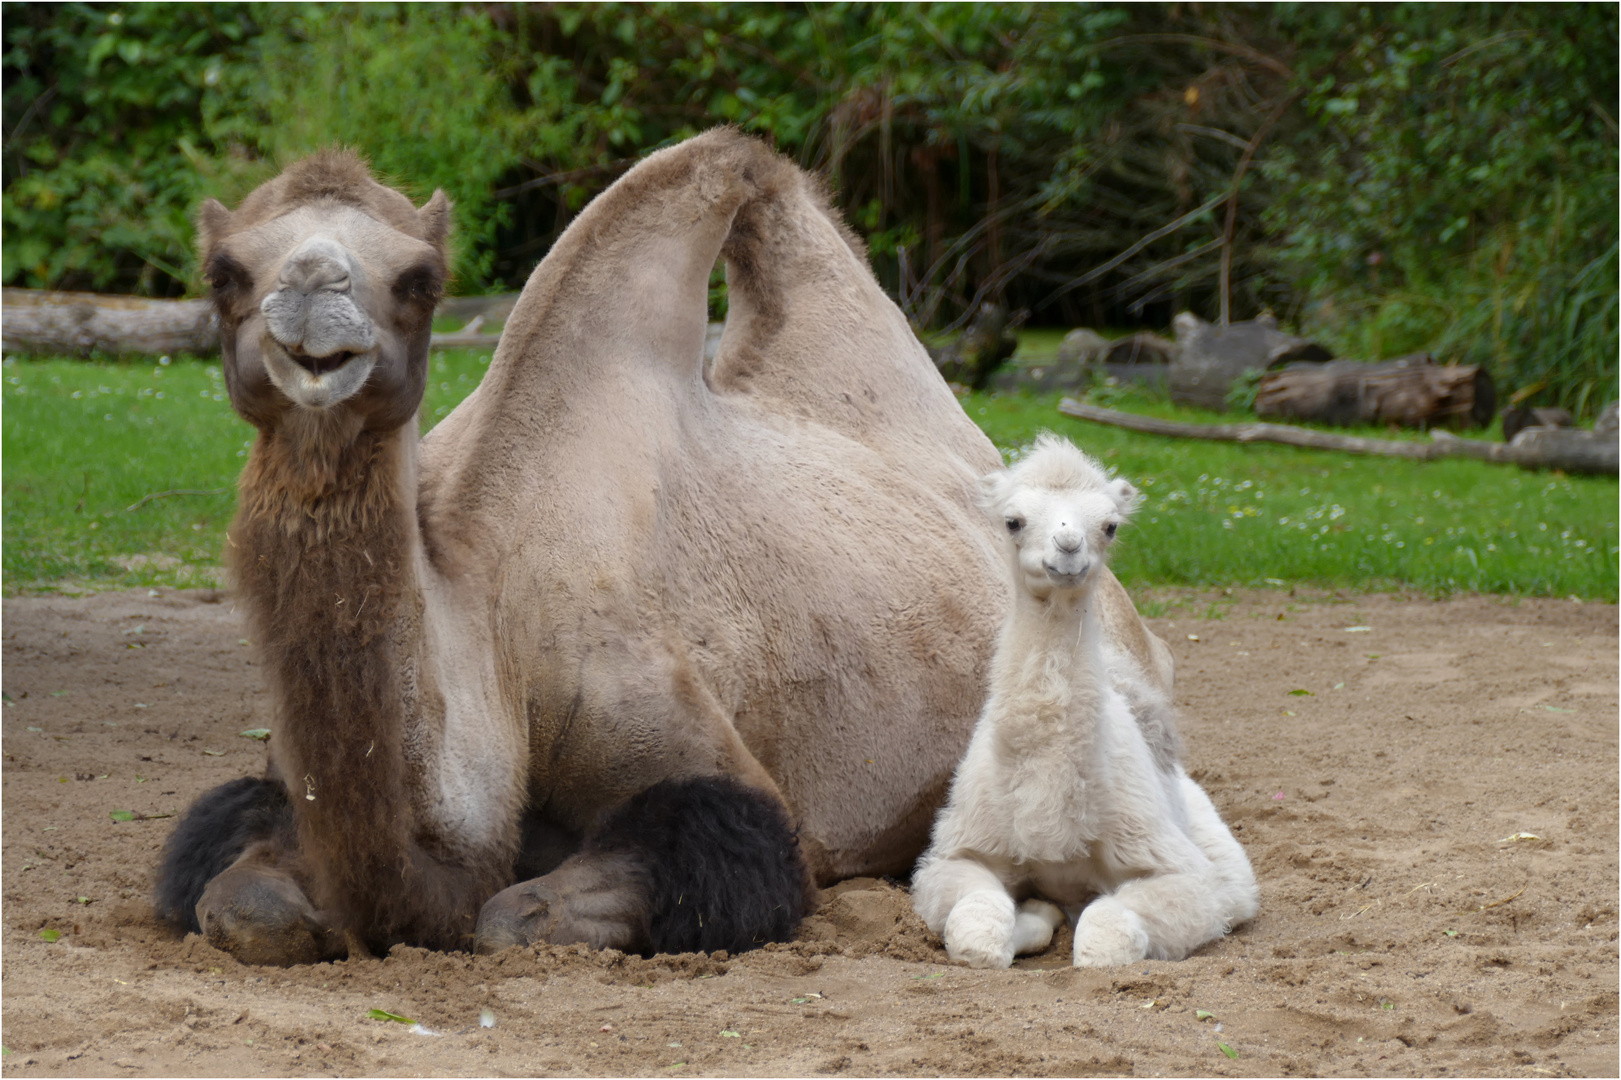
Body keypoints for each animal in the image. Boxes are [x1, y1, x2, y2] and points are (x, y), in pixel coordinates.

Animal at [154, 130, 1180, 960]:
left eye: (421, 281)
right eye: (222, 272)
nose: (311, 295)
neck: (490, 619)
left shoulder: (699, 759)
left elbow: (514, 916)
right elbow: (241, 900)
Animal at [914, 434, 1251, 960]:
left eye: (1110, 526)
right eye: (1013, 521)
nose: (1069, 545)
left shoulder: (1187, 874)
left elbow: (1103, 937)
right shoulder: (954, 855)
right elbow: (978, 934)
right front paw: (1030, 917)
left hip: (1226, 863)